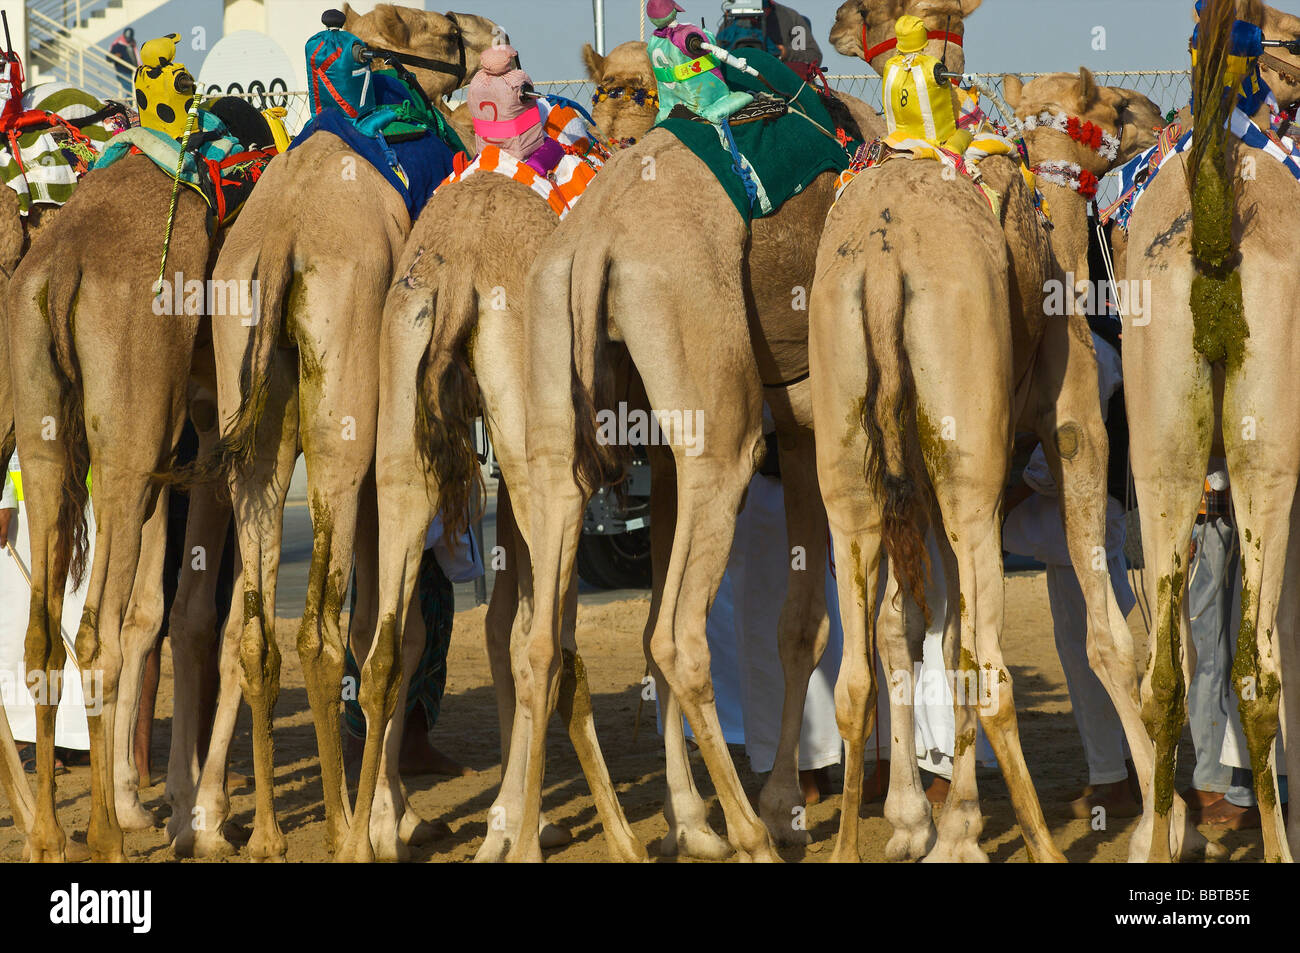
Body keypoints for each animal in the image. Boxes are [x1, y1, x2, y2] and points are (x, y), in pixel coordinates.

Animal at [184, 4, 500, 862]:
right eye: (436, 27)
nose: (490, 34)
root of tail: (280, 249)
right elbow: (392, 630)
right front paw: (390, 821)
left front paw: (392, 813)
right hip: (341, 427)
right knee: (319, 635)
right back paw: (334, 827)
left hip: (255, 431)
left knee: (254, 630)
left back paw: (260, 831)